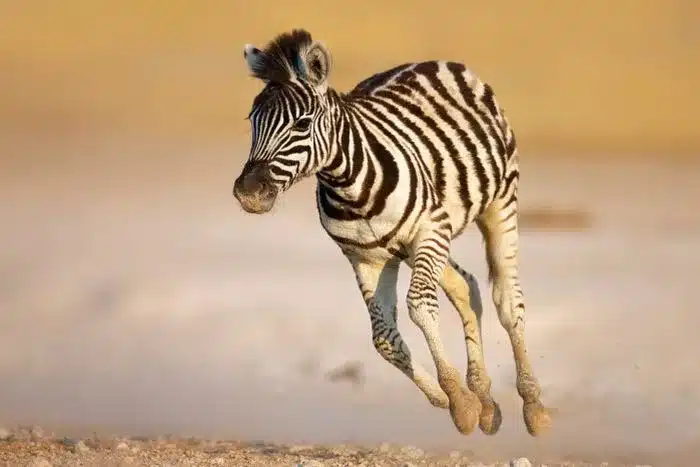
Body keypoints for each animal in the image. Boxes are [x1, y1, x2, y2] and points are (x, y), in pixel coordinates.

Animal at [234, 30, 552, 438]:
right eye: (252, 121)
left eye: (302, 124)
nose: (248, 193)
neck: (350, 188)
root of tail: (432, 62)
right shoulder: (365, 257)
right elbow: (383, 338)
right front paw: (451, 398)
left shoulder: (429, 230)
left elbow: (420, 307)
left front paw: (459, 401)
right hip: (417, 246)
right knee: (464, 287)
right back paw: (485, 401)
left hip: (496, 205)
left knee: (508, 303)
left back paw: (533, 407)